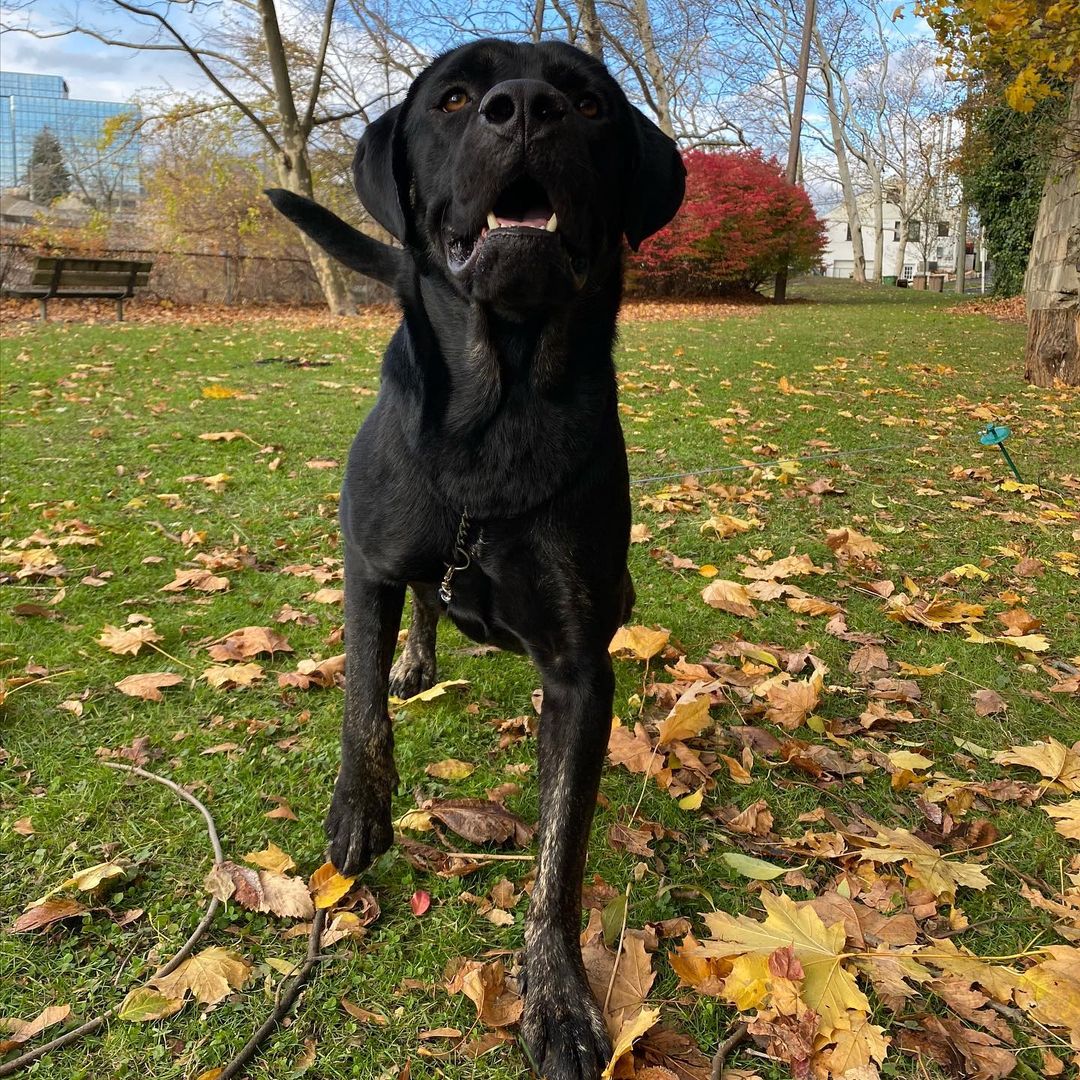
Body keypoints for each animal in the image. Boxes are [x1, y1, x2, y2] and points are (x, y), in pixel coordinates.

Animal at [272, 38, 682, 1075]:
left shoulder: (579, 671)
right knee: (423, 602)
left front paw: (560, 998)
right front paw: (358, 813)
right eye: (455, 98)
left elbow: (559, 855)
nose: (527, 107)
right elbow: (361, 707)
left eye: (589, 103)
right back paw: (418, 659)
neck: (499, 412)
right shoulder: (367, 564)